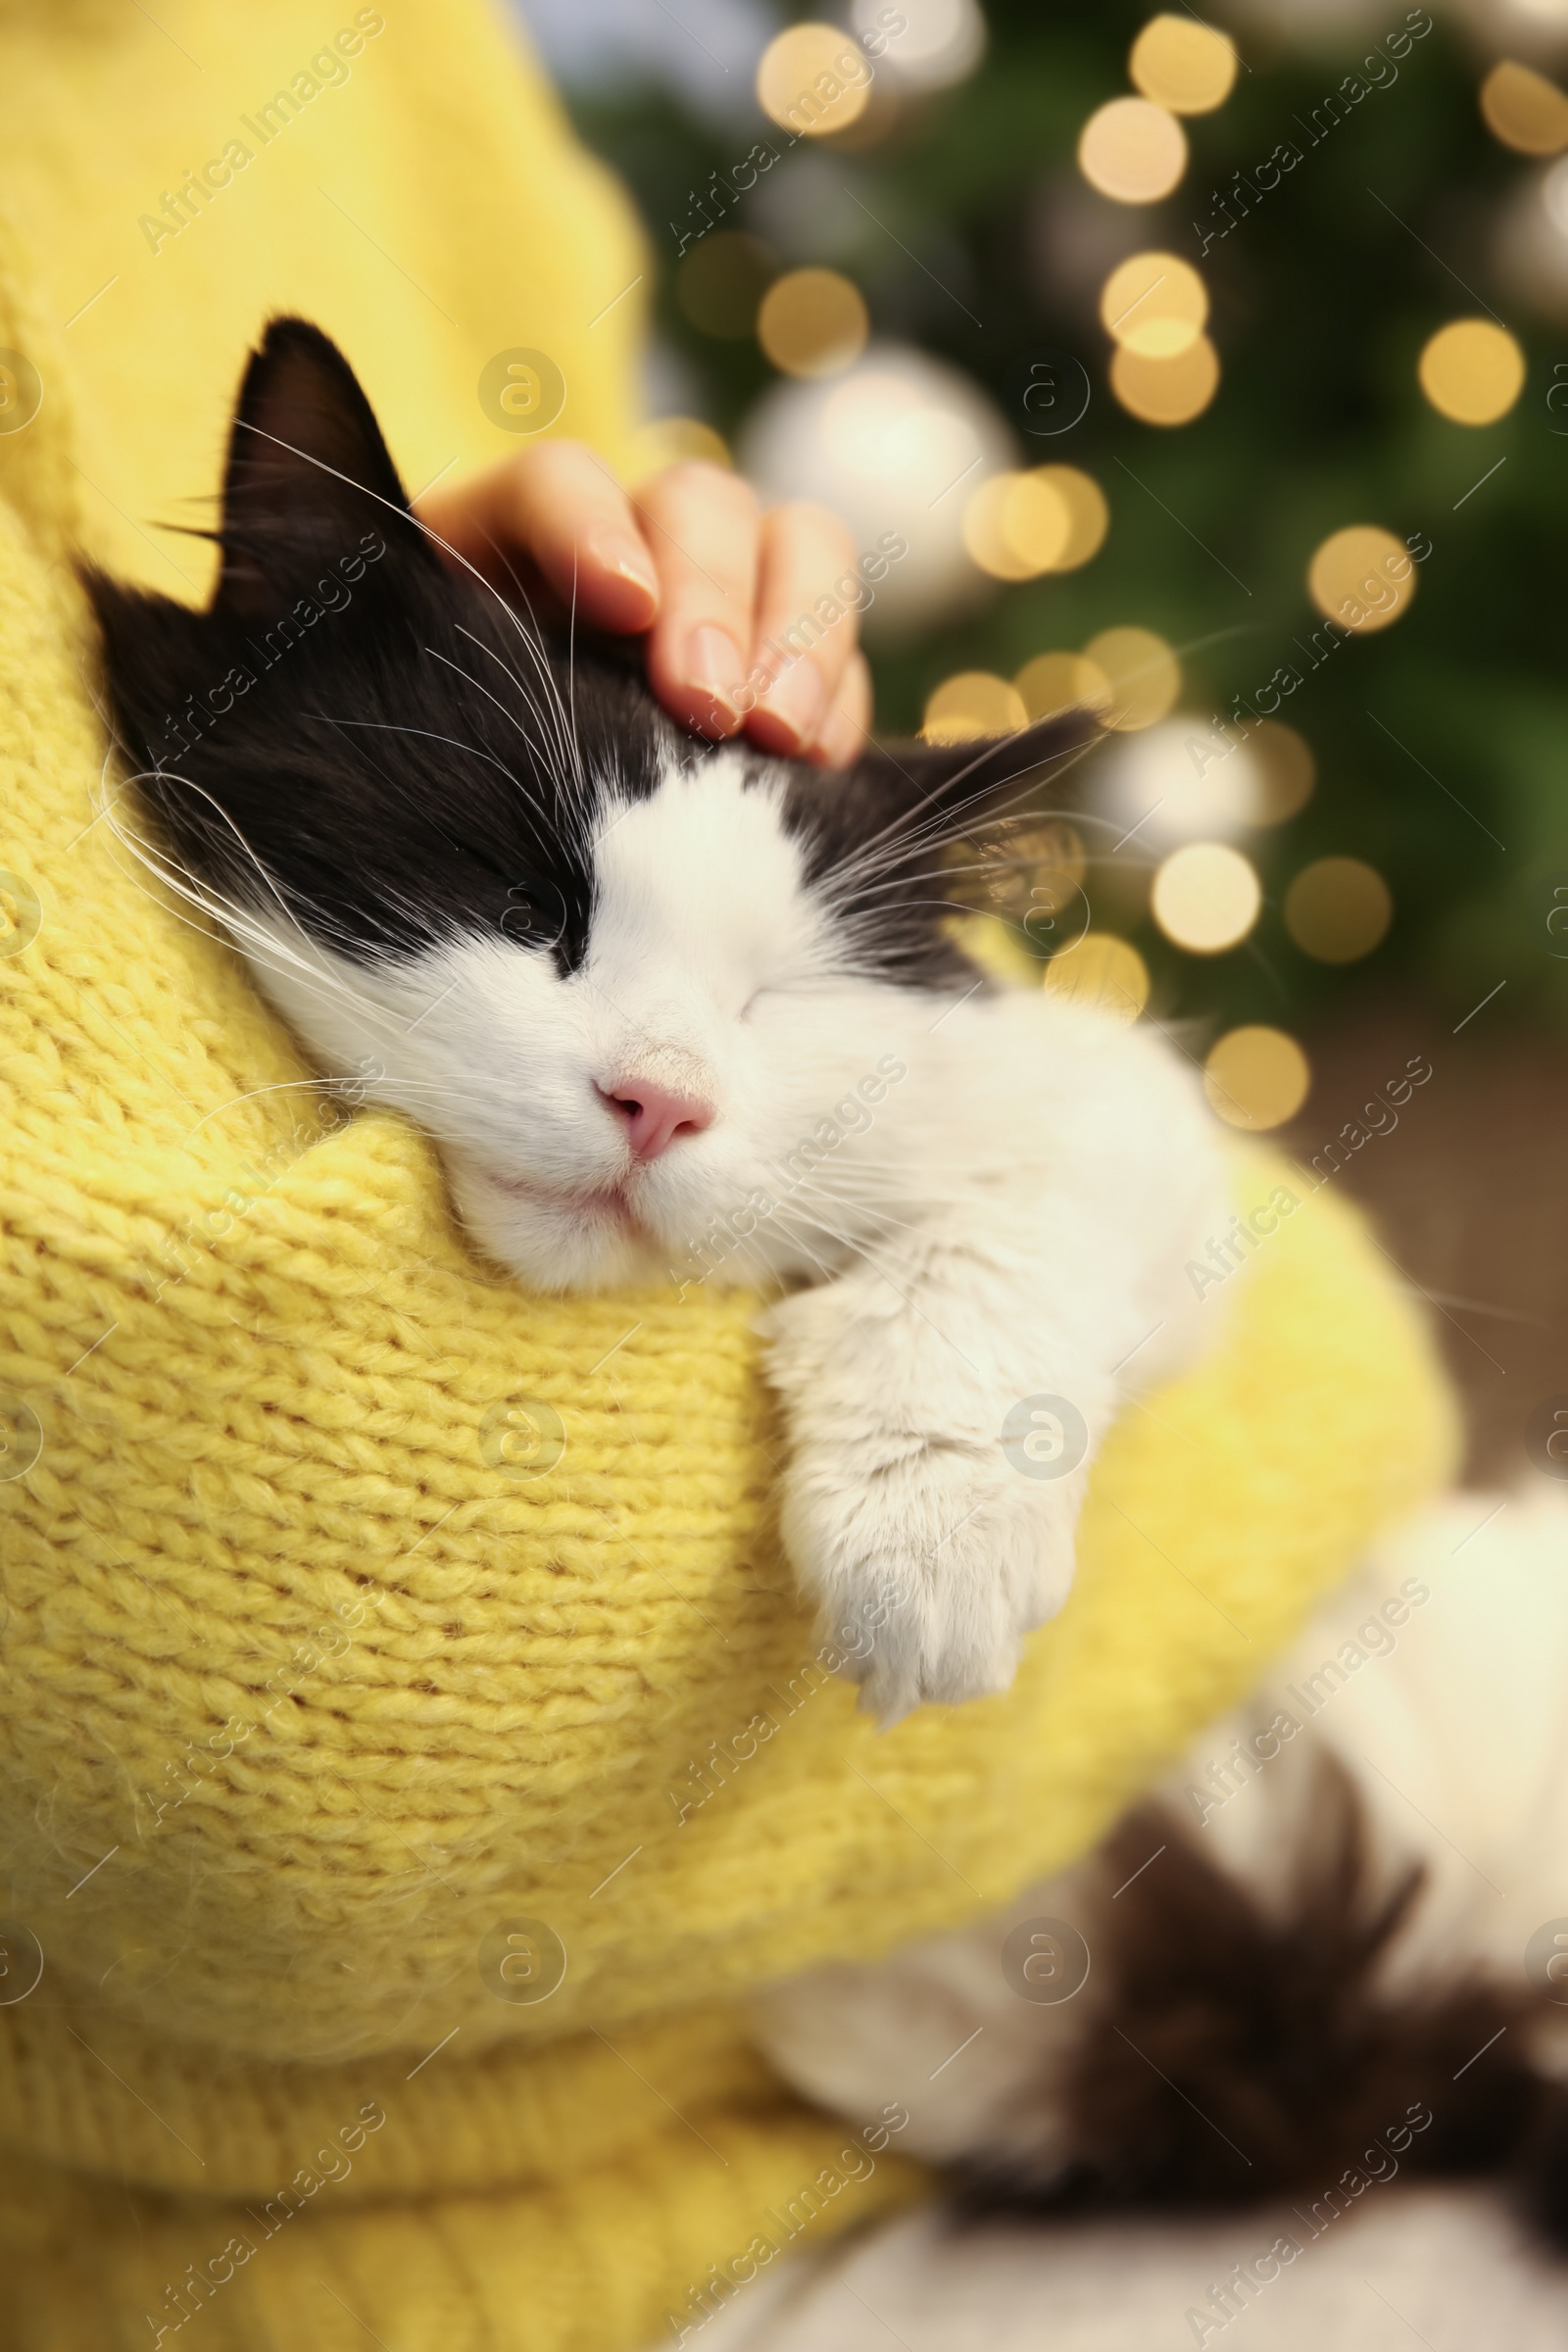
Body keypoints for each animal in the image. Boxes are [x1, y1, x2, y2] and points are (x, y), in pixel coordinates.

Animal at [85, 313, 1222, 1721]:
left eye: (769, 1002)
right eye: (524, 906)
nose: (660, 1104)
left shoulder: (1110, 1100)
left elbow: (1008, 1231)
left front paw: (935, 1540)